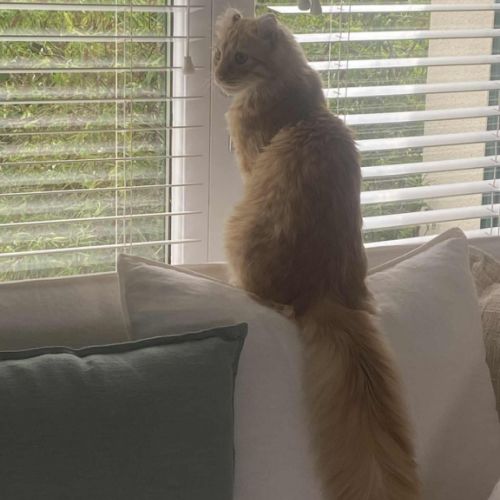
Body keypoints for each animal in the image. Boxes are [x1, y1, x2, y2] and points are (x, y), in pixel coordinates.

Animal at [214, 9, 420, 500]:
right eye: (218, 53)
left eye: (240, 58)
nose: (216, 74)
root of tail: (327, 293)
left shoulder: (249, 162)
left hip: (238, 231)